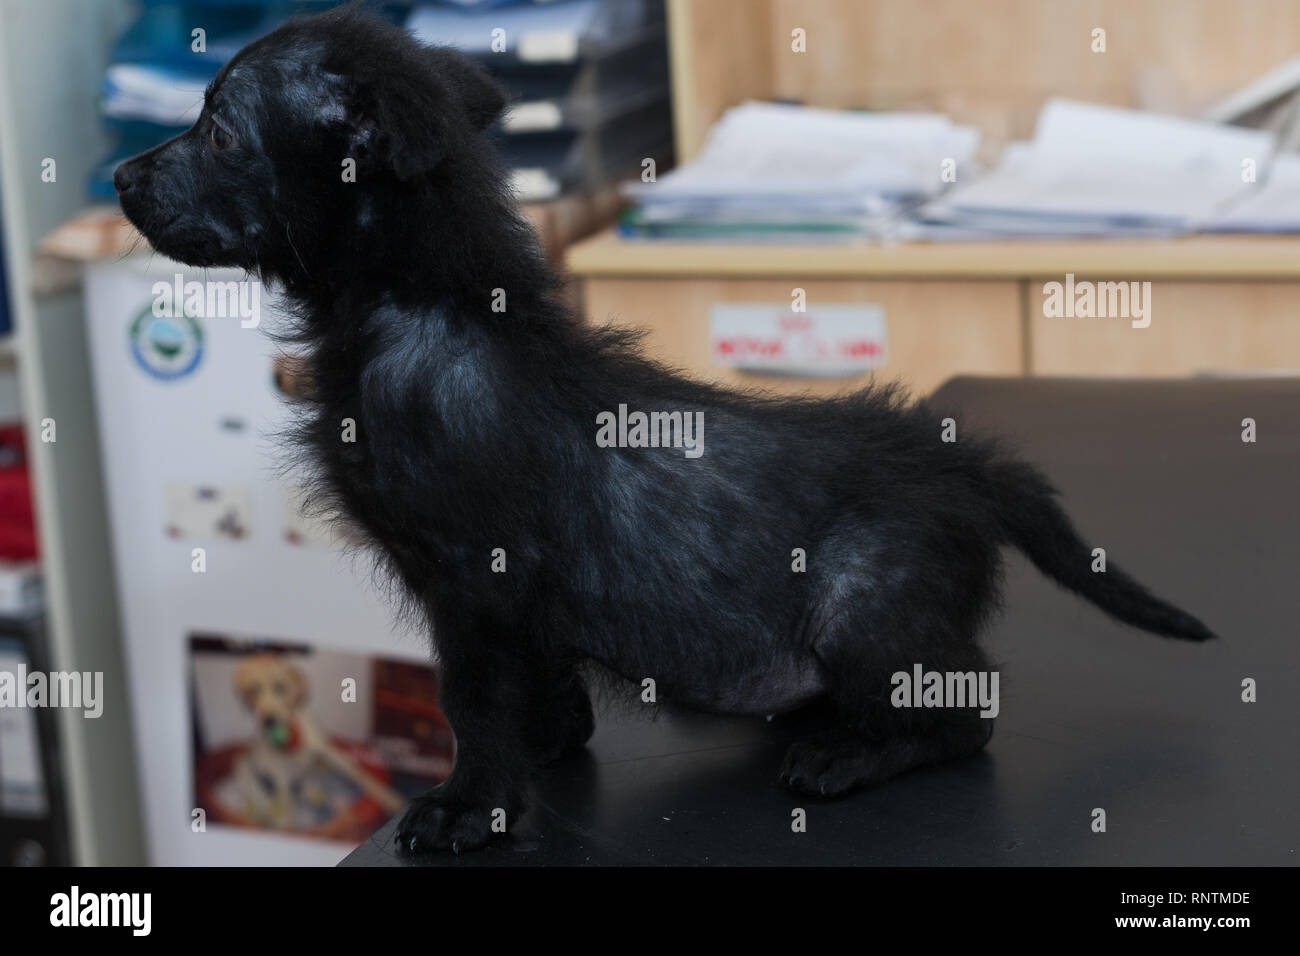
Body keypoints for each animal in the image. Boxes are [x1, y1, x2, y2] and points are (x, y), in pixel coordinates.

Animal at [116, 7, 1211, 858]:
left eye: (220, 133)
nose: (121, 177)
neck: (426, 305)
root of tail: (957, 461)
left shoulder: (470, 577)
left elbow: (470, 700)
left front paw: (472, 806)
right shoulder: (511, 599)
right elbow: (534, 684)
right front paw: (548, 743)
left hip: (860, 607)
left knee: (968, 713)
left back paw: (846, 751)